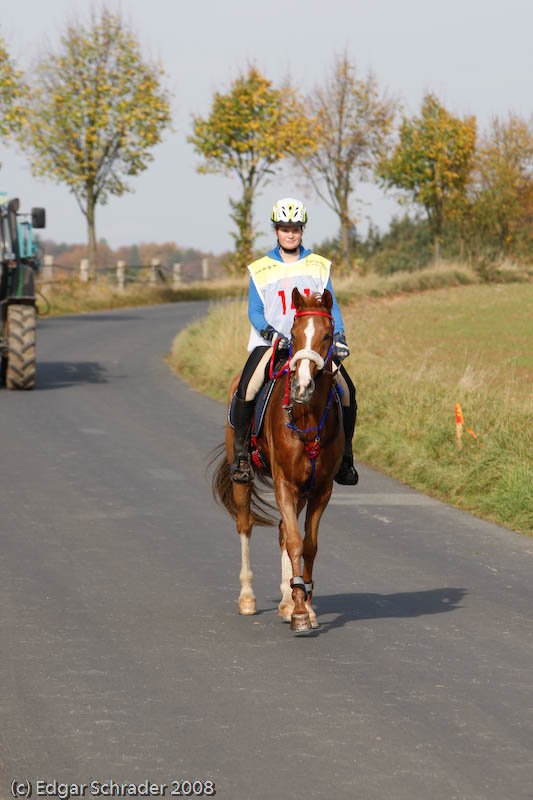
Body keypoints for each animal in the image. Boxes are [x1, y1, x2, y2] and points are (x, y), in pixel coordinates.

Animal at [210, 288, 342, 632]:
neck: (306, 415)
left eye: (327, 336)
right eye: (293, 335)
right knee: (246, 524)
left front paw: (301, 604)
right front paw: (299, 613)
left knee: (284, 529)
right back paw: (247, 598)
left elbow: (306, 544)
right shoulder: (284, 482)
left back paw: (286, 598)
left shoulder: (320, 489)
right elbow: (294, 541)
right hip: (243, 478)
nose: (302, 387)